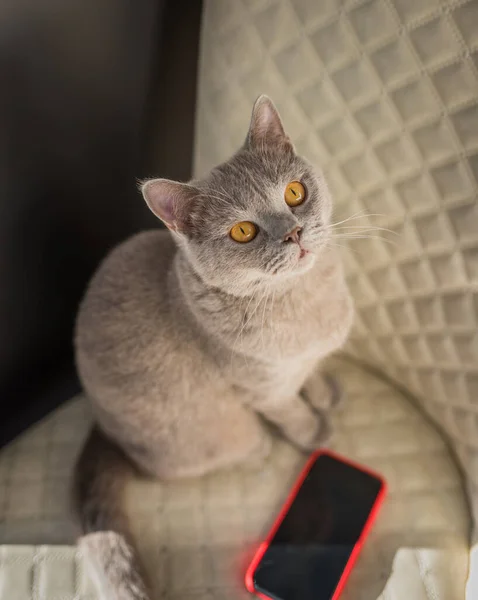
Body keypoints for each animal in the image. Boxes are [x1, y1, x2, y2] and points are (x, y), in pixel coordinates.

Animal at [73, 96, 352, 596]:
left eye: (294, 193)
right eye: (243, 231)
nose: (293, 233)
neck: (305, 301)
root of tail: (102, 431)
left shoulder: (300, 362)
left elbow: (312, 374)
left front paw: (325, 392)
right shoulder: (262, 389)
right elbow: (294, 412)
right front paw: (316, 433)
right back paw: (259, 449)